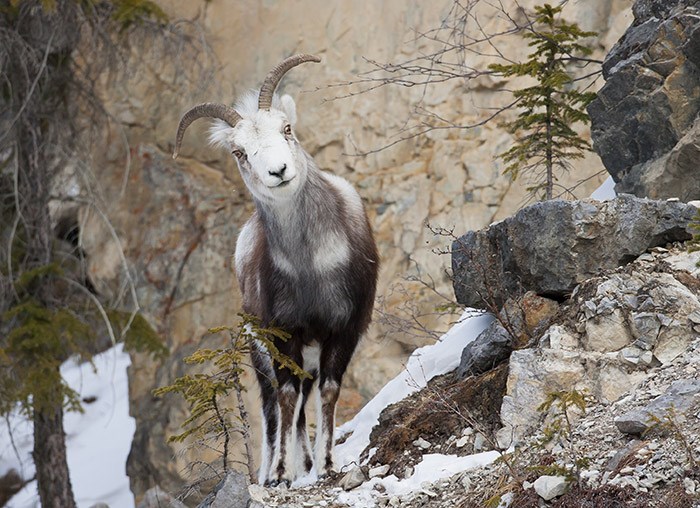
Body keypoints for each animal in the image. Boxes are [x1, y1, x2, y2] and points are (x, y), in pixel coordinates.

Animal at [175, 54, 380, 484]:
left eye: (287, 129)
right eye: (240, 152)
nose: (279, 171)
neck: (311, 268)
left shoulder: (344, 330)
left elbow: (328, 392)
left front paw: (327, 465)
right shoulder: (281, 335)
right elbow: (285, 400)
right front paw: (281, 474)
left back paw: (308, 464)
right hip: (261, 352)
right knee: (274, 408)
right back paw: (275, 469)